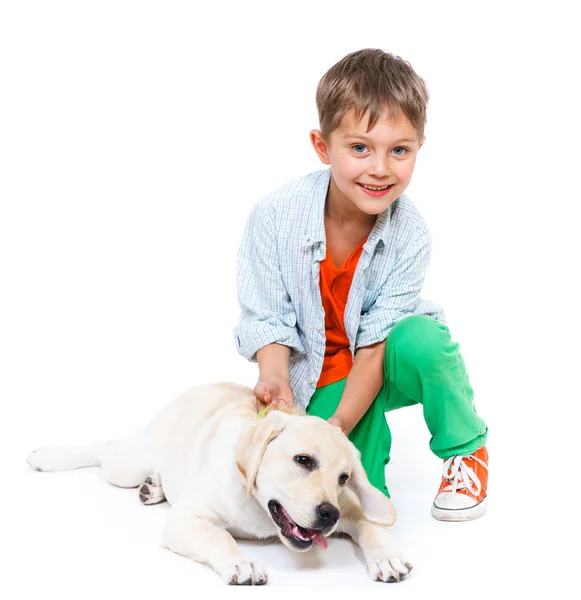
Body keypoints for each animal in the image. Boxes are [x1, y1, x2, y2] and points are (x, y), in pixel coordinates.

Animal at [24, 382, 410, 584]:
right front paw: (242, 563)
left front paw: (388, 556)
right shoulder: (185, 519)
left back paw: (155, 486)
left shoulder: (352, 508)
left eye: (344, 477)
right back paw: (47, 456)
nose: (329, 515)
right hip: (125, 465)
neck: (260, 509)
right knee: (104, 450)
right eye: (303, 460)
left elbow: (373, 527)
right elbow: (219, 536)